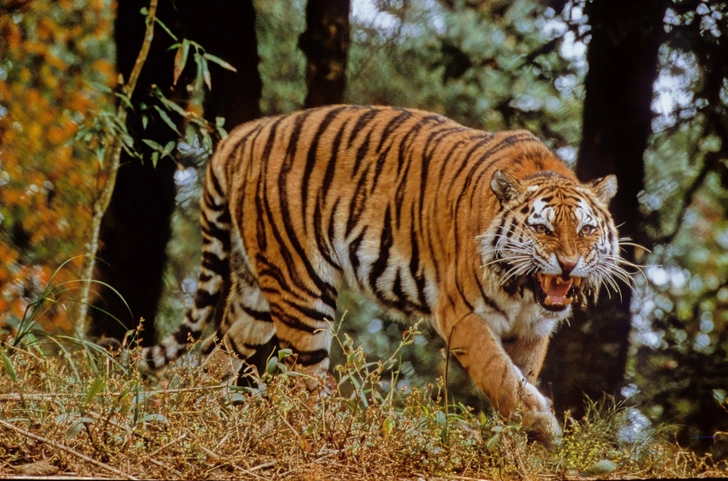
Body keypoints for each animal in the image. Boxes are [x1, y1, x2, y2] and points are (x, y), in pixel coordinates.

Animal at [139, 105, 624, 446]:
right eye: (543, 229)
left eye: (586, 229)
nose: (567, 264)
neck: (523, 292)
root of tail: (244, 132)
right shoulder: (462, 315)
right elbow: (498, 373)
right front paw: (542, 426)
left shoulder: (533, 331)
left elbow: (518, 378)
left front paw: (519, 442)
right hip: (301, 289)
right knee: (302, 382)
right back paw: (332, 431)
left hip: (255, 296)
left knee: (215, 358)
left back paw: (196, 414)